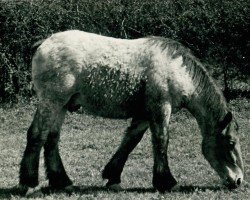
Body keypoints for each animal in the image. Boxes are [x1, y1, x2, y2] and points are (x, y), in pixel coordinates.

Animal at [19, 29, 244, 194]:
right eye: (231, 143)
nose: (239, 180)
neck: (177, 69)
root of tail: (44, 43)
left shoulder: (144, 114)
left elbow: (130, 141)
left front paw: (113, 177)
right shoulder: (161, 108)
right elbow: (161, 141)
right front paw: (167, 182)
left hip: (61, 106)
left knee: (51, 139)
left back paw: (62, 181)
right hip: (52, 102)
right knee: (37, 135)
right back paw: (28, 184)